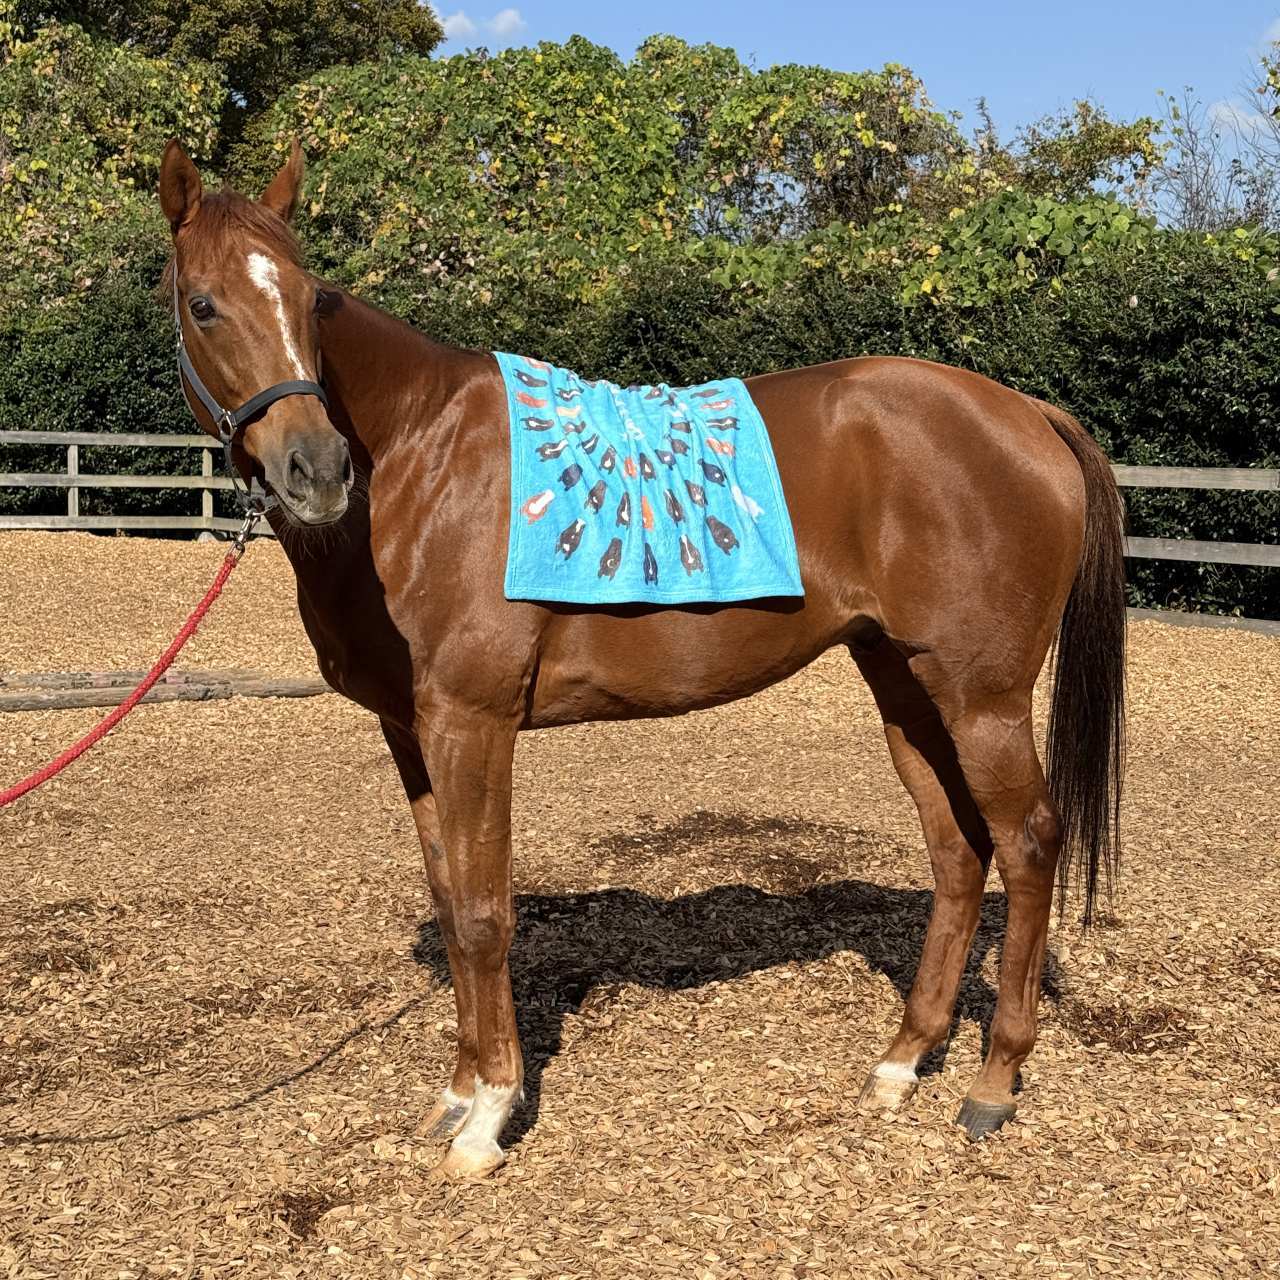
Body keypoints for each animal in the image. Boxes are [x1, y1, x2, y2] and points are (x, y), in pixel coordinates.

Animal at [157, 139, 1125, 1179]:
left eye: (308, 300)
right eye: (204, 304)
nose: (318, 469)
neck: (422, 457)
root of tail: (1024, 412)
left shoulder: (473, 724)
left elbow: (487, 914)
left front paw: (489, 1119)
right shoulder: (412, 734)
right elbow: (453, 904)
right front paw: (456, 1097)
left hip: (982, 698)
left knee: (1027, 844)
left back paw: (993, 1082)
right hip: (904, 685)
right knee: (958, 850)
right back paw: (902, 1062)